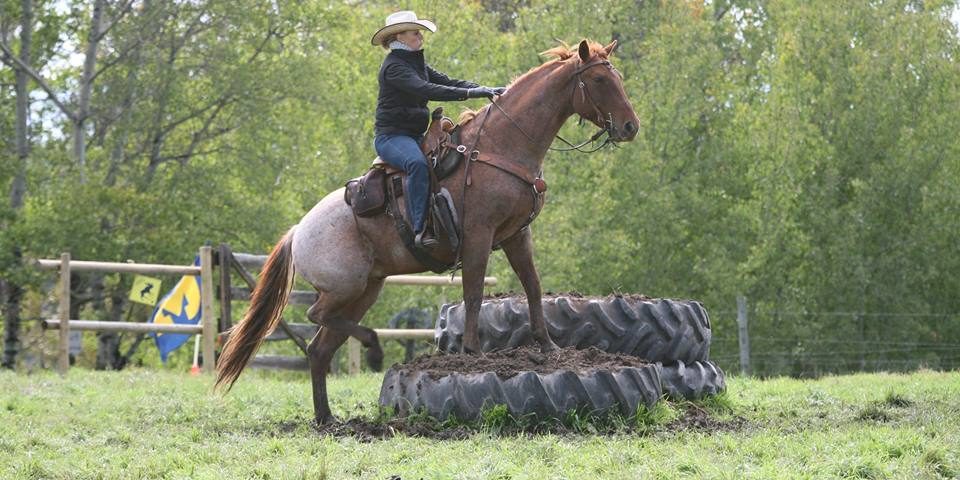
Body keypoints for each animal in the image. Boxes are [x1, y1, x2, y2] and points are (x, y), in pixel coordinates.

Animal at [216, 41, 636, 424]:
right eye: (600, 79)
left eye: (617, 76)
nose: (630, 126)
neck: (501, 146)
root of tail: (297, 231)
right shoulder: (480, 235)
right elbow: (473, 293)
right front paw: (472, 351)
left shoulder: (517, 236)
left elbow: (533, 286)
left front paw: (548, 346)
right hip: (345, 288)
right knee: (316, 315)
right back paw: (372, 349)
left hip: (365, 291)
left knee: (320, 349)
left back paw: (327, 418)